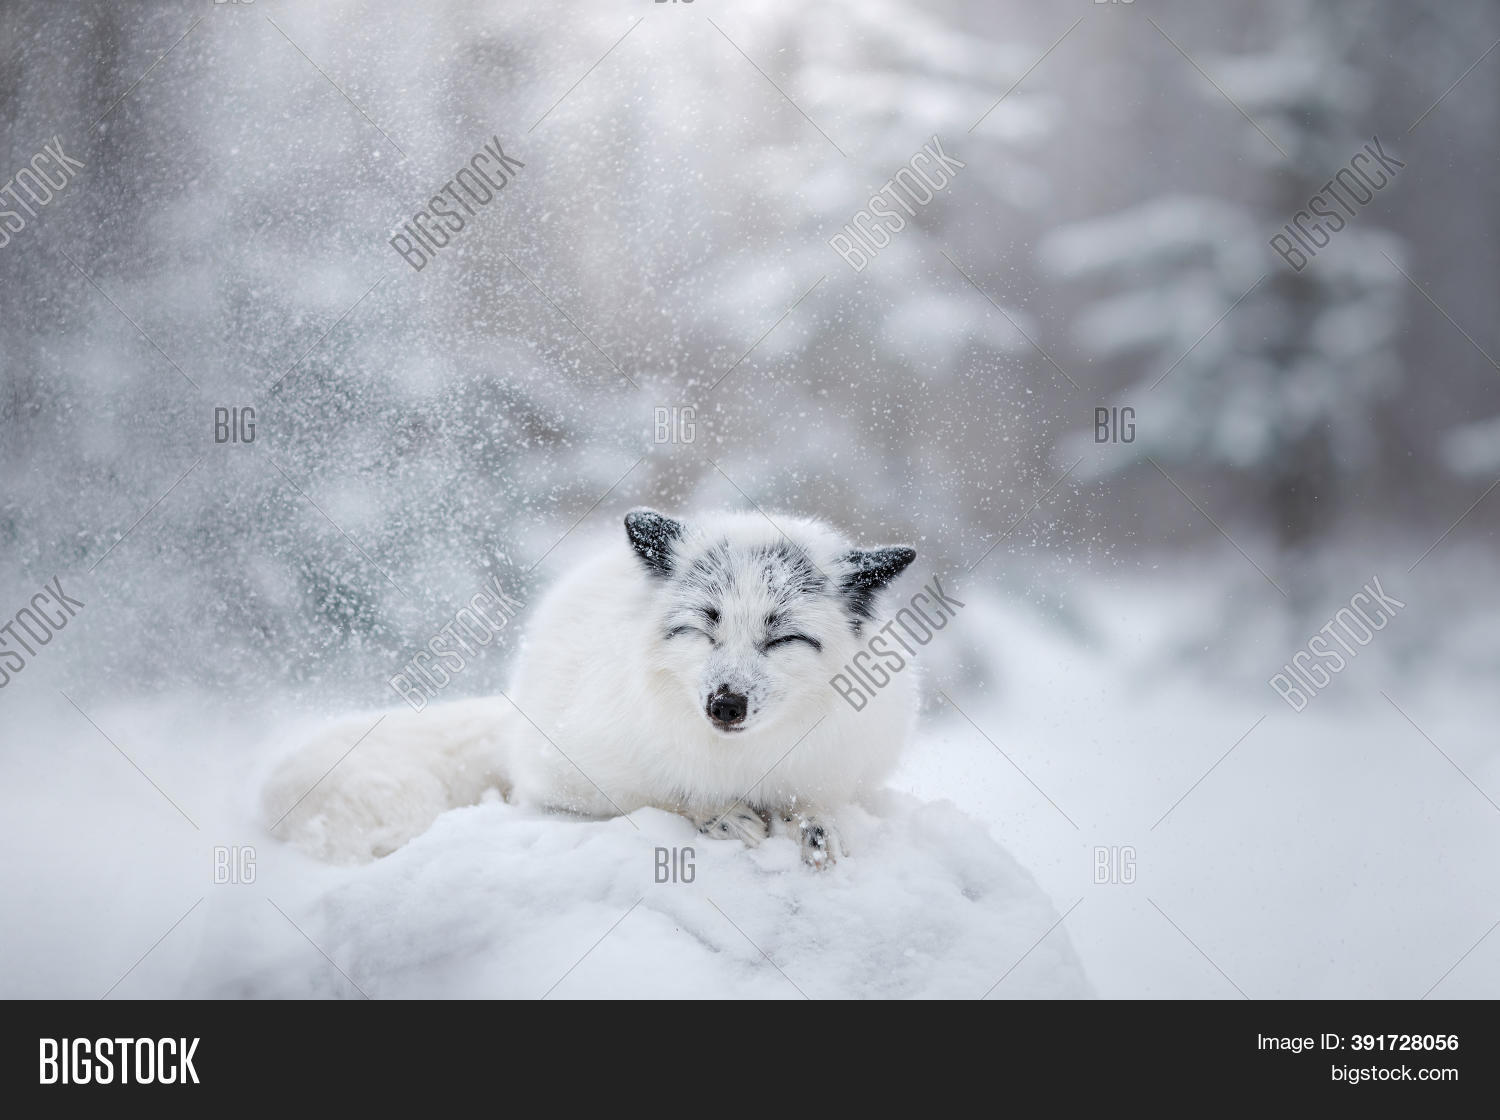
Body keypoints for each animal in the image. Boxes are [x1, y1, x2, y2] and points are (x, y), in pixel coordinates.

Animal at [263, 509, 920, 868]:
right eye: (704, 626)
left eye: (781, 638)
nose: (725, 704)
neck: (742, 763)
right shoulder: (573, 782)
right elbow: (672, 799)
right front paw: (721, 817)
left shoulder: (836, 772)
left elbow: (817, 806)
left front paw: (817, 831)